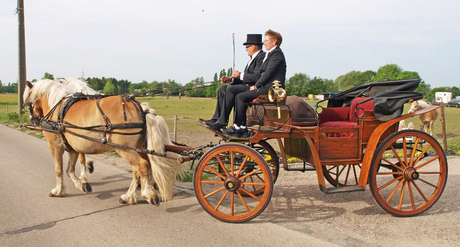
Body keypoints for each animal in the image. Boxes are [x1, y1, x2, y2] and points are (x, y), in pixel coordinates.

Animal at [23, 79, 181, 205]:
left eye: (28, 102)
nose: (33, 119)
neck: (58, 109)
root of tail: (141, 108)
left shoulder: (55, 146)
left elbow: (59, 169)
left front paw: (58, 191)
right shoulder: (73, 148)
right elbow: (69, 170)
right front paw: (82, 184)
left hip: (126, 149)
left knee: (142, 166)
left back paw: (147, 194)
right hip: (137, 148)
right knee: (139, 169)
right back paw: (128, 197)